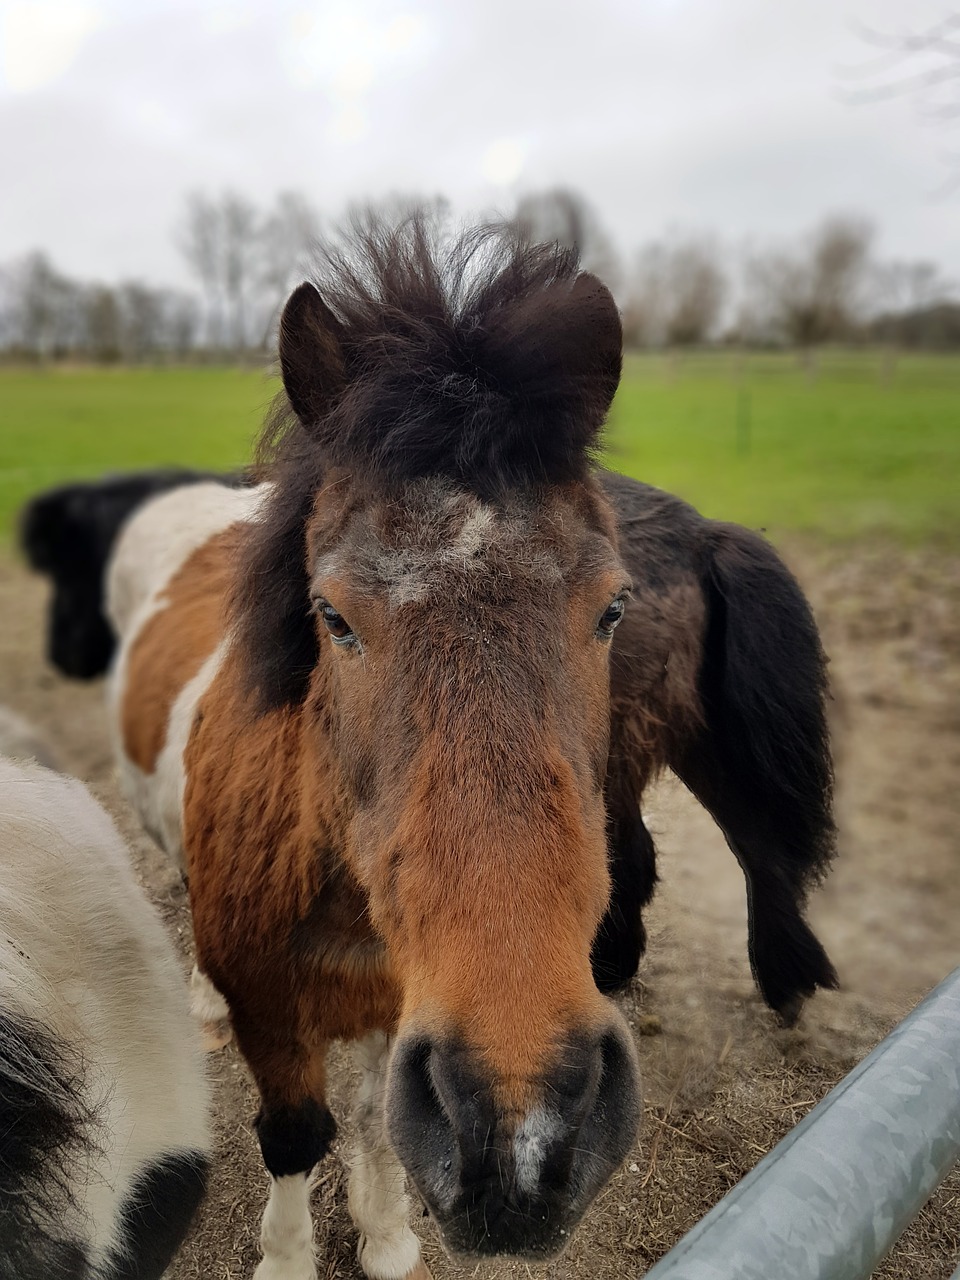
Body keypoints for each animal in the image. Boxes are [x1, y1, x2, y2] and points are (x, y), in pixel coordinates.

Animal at [108, 220, 839, 1280]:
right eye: (332, 615)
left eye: (612, 606)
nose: (524, 1129)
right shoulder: (278, 1015)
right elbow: (296, 1132)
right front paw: (289, 1255)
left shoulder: (392, 1004)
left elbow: (372, 1118)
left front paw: (384, 1237)